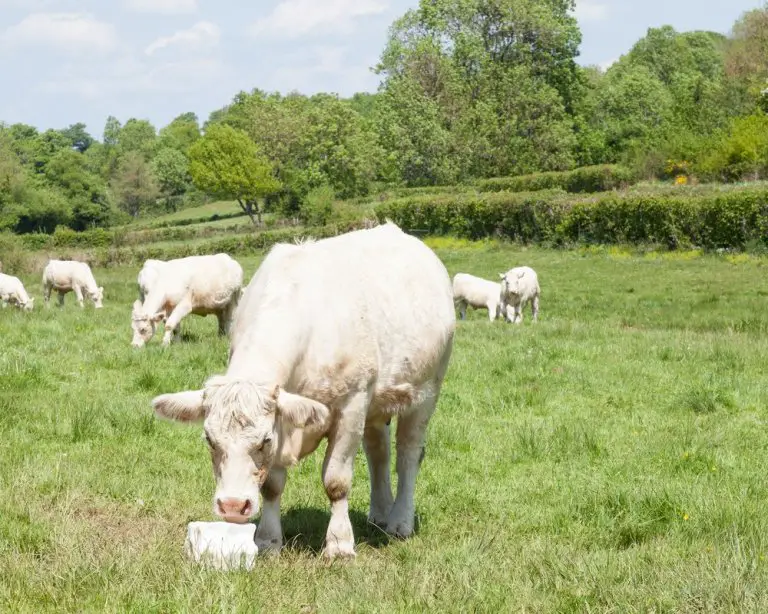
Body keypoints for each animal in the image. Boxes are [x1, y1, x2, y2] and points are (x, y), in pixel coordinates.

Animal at [151, 223, 456, 560]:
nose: (232, 506)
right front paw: (268, 540)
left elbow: (336, 481)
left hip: (426, 391)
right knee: (379, 452)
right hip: (376, 404)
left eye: (264, 440)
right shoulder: (285, 417)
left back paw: (400, 520)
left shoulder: (351, 406)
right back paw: (380, 512)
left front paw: (339, 544)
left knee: (408, 454)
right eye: (209, 439)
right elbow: (272, 485)